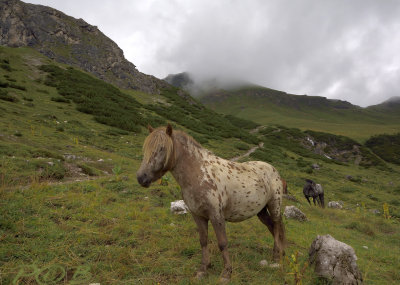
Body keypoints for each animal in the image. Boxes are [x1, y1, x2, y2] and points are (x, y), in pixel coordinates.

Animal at [136, 125, 286, 282]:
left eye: (162, 148)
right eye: (146, 148)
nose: (141, 178)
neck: (199, 174)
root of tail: (274, 170)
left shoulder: (216, 216)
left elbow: (222, 242)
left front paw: (226, 272)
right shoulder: (198, 215)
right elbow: (203, 240)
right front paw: (203, 269)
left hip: (274, 205)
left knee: (277, 225)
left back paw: (276, 256)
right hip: (260, 211)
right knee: (272, 226)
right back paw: (280, 253)